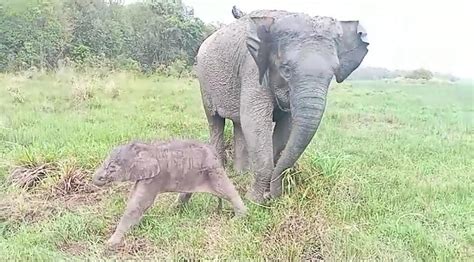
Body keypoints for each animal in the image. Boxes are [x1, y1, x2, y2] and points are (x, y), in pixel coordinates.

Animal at [92, 139, 248, 248]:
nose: (97, 178)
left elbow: (138, 204)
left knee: (226, 190)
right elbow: (135, 199)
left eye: (112, 167)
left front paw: (110, 243)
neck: (145, 148)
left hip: (213, 170)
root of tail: (216, 153)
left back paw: (238, 219)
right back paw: (173, 210)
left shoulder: (155, 178)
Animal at [194, 8, 368, 203]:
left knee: (239, 124)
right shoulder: (252, 68)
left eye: (334, 73)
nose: (274, 194)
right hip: (204, 81)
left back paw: (241, 173)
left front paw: (270, 195)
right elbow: (255, 120)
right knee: (215, 120)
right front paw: (254, 201)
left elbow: (286, 126)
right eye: (286, 69)